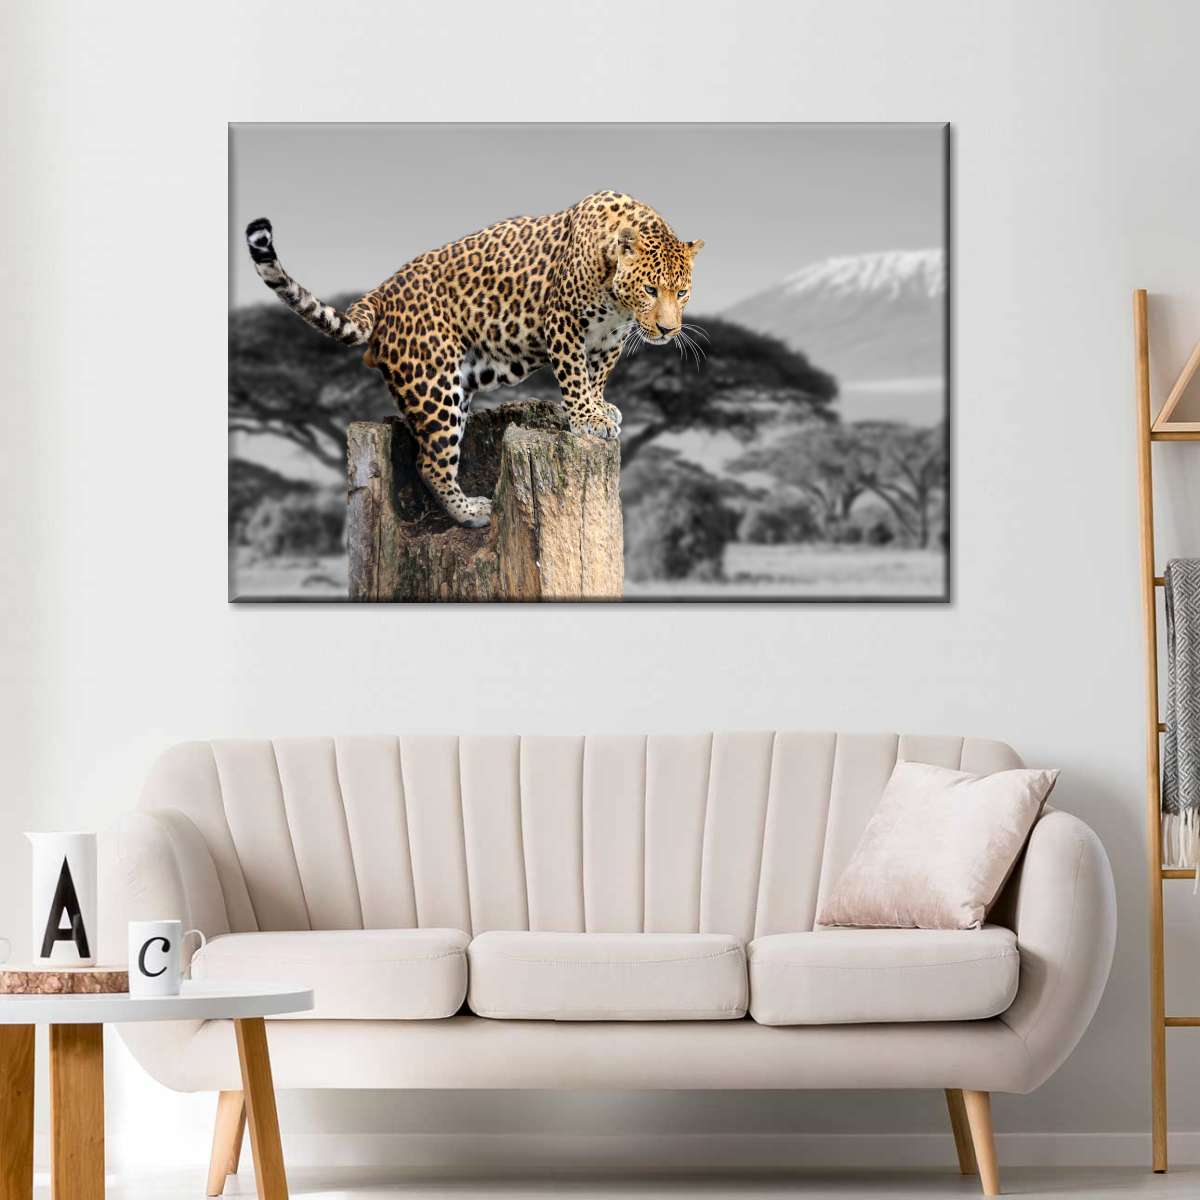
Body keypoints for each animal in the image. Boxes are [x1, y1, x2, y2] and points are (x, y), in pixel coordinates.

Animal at [244, 191, 703, 527]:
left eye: (681, 292)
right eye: (650, 290)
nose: (668, 330)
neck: (618, 300)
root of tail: (382, 291)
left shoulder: (609, 339)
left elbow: (597, 375)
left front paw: (600, 408)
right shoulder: (563, 323)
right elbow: (574, 375)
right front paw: (587, 418)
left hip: (457, 387)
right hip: (434, 385)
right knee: (429, 461)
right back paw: (471, 514)